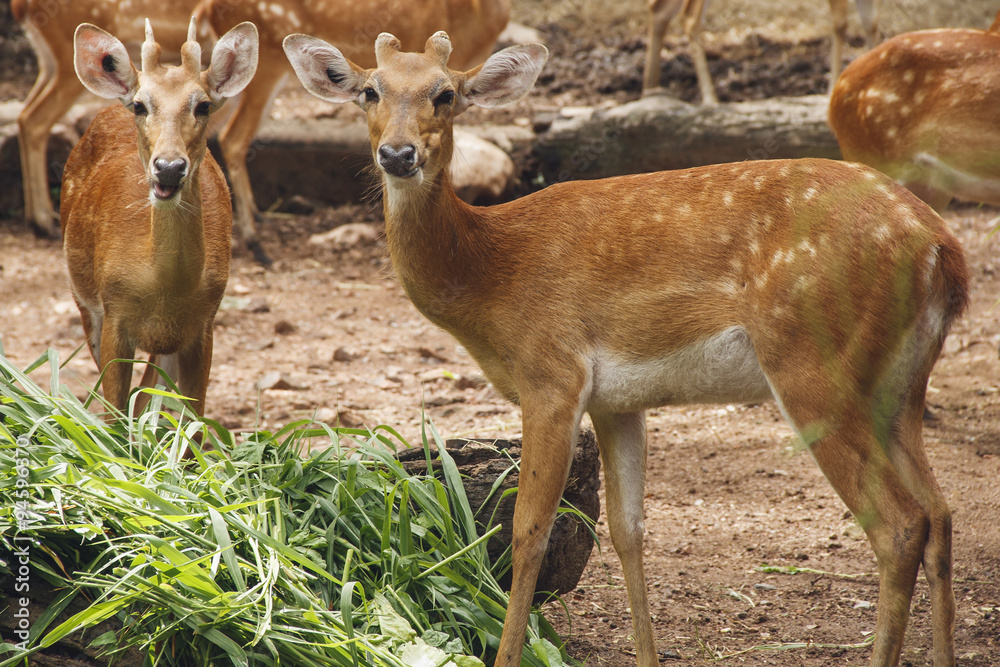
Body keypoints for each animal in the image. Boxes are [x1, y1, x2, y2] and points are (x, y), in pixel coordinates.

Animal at [61, 18, 258, 418]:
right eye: (140, 105)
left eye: (203, 105)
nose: (168, 167)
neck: (163, 290)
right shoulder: (113, 315)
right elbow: (115, 413)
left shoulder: (203, 325)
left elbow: (192, 419)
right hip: (83, 300)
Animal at [286, 26, 972, 667]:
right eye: (370, 91)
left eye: (445, 94)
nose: (397, 153)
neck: (491, 274)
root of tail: (941, 247)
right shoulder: (616, 401)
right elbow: (627, 529)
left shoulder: (552, 374)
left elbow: (529, 529)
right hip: (899, 384)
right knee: (940, 512)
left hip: (812, 361)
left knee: (899, 524)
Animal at [644, 0, 880, 102]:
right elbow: (840, 24)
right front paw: (832, 89)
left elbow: (871, 24)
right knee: (689, 18)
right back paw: (710, 98)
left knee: (658, 9)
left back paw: (651, 89)